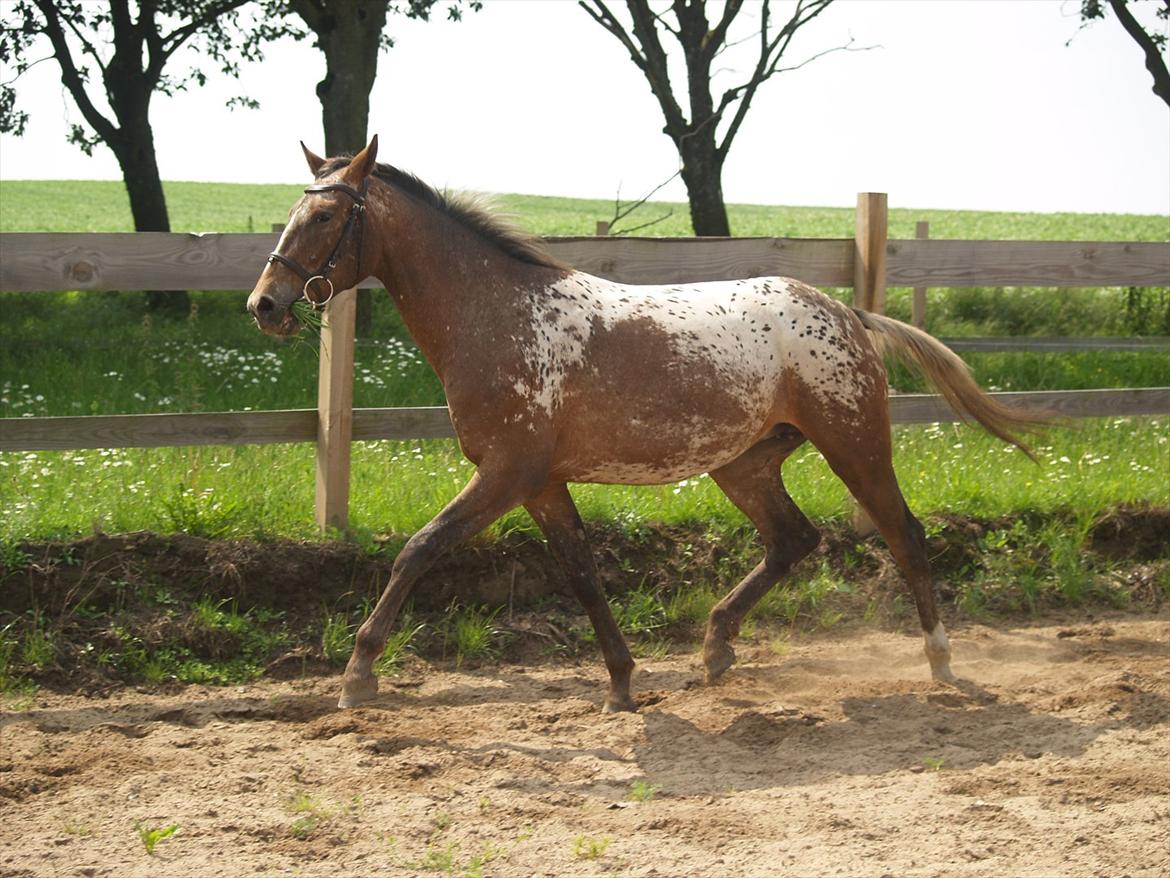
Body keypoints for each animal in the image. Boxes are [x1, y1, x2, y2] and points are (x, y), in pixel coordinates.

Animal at [249, 137, 1043, 716]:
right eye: (291, 211)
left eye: (324, 217)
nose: (266, 303)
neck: (496, 315)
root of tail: (847, 312)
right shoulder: (541, 484)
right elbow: (582, 573)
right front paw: (623, 683)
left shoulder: (506, 473)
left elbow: (418, 549)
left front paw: (358, 676)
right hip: (743, 462)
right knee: (794, 539)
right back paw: (716, 649)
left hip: (854, 442)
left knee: (903, 534)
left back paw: (940, 661)